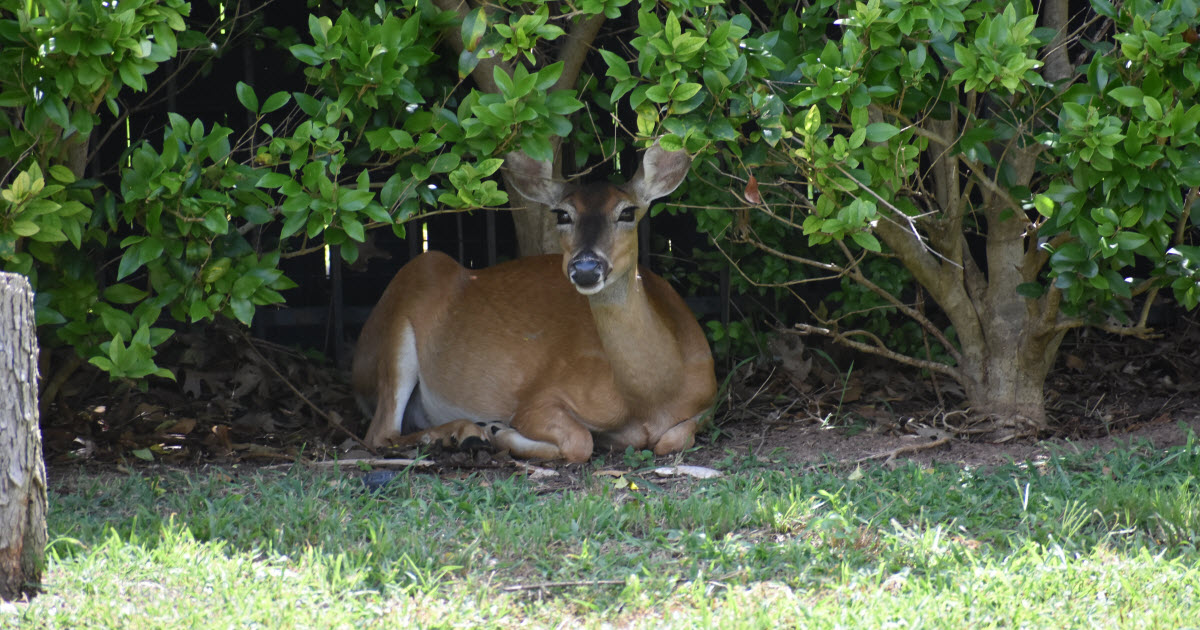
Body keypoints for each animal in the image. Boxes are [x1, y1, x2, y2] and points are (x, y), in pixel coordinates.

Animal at [350, 145, 715, 463]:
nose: (585, 268)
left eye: (627, 211)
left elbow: (674, 438)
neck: (652, 399)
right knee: (380, 434)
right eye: (562, 214)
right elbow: (579, 441)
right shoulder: (540, 397)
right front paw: (499, 430)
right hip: (406, 304)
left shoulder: (708, 402)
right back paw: (467, 433)